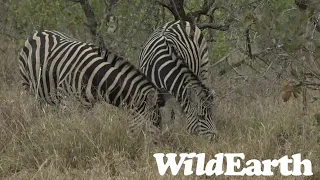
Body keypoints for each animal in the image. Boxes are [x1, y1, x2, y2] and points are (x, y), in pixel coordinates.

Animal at [18, 29, 165, 134]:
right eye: (154, 123)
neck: (94, 76)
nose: (156, 146)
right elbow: (66, 128)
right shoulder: (66, 102)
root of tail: (39, 31)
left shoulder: (88, 106)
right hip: (29, 87)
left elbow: (84, 127)